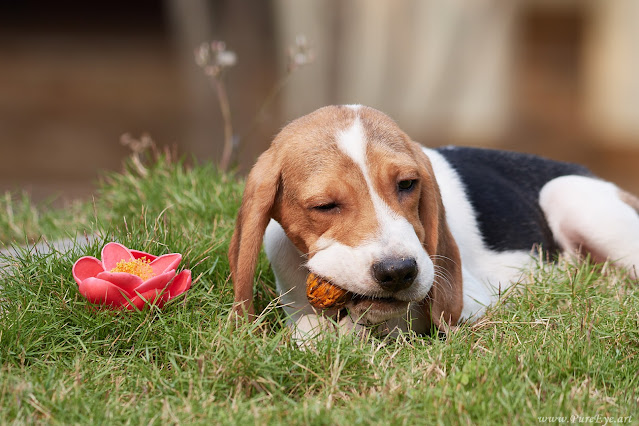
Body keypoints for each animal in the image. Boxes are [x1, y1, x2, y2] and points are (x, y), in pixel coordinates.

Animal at [228, 105, 639, 340]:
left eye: (408, 184)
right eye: (325, 205)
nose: (398, 272)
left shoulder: (472, 301)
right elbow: (310, 331)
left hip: (569, 195)